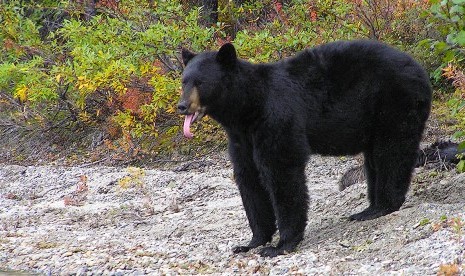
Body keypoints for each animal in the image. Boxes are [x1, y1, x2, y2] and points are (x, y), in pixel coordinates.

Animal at [177, 39, 432, 256]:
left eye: (200, 82)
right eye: (184, 80)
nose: (182, 106)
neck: (246, 109)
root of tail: (420, 69)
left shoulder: (276, 120)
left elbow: (282, 172)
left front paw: (280, 245)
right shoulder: (241, 138)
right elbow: (248, 179)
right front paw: (252, 242)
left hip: (393, 103)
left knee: (391, 152)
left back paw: (384, 206)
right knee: (375, 159)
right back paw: (368, 209)